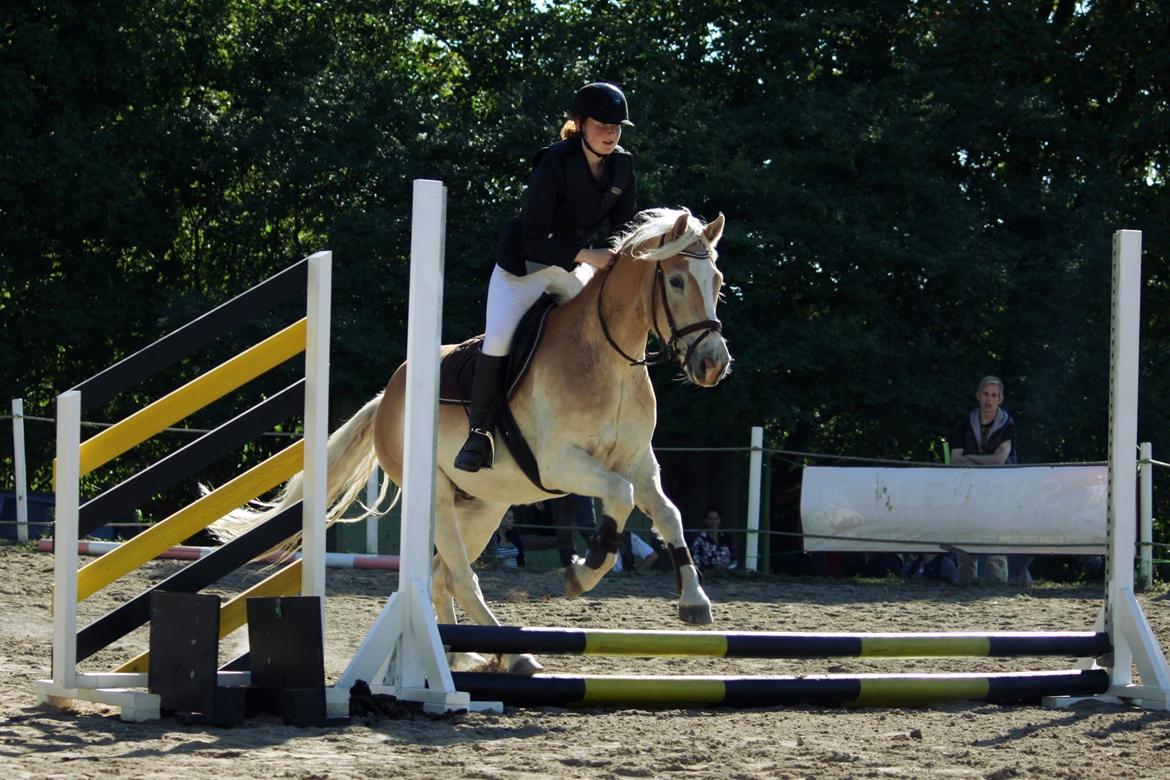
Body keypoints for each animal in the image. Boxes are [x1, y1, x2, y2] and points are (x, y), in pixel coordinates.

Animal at [215, 206, 730, 678]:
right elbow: (619, 500)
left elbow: (669, 513)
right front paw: (585, 571)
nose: (713, 364)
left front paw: (694, 601)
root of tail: (388, 397)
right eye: (677, 281)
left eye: (718, 281)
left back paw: (457, 653)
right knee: (461, 577)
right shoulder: (561, 465)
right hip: (440, 500)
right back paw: (513, 655)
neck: (607, 359)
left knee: (442, 576)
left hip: (485, 507)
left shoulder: (639, 463)